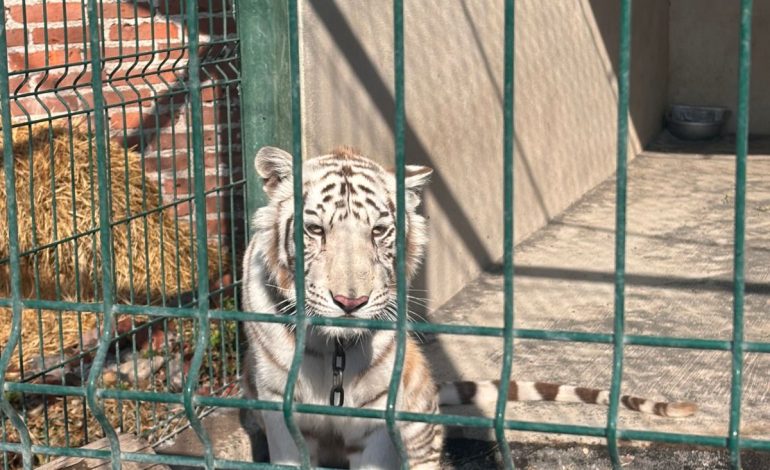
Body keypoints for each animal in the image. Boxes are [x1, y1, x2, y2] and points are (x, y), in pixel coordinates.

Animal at [240, 146, 697, 469]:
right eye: (315, 229)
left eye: (379, 231)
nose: (350, 302)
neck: (334, 351)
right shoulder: (277, 405)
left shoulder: (379, 417)